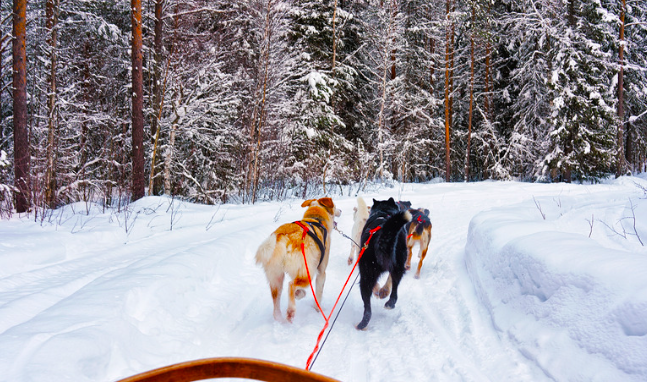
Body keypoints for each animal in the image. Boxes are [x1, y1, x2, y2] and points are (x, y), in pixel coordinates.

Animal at [356, 198, 412, 330]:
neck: (384, 211)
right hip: (397, 268)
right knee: (395, 289)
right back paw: (390, 303)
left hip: (366, 276)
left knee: (367, 307)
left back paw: (363, 323)